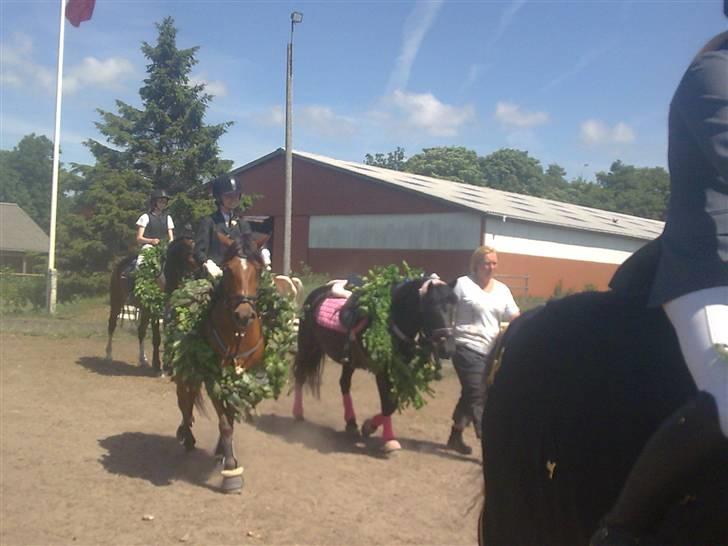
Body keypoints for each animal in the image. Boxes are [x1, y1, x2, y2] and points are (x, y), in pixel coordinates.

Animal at [173, 236, 264, 490]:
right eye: (227, 269)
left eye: (258, 270)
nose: (244, 315)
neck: (237, 334)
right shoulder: (213, 377)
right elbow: (224, 422)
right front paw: (231, 470)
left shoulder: (239, 378)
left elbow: (230, 417)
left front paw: (224, 453)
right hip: (187, 372)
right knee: (185, 401)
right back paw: (186, 436)